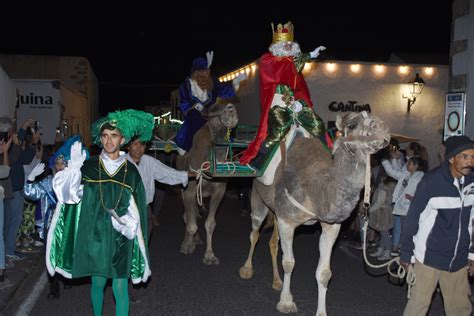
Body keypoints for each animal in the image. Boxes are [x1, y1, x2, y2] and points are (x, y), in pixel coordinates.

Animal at [176, 102, 239, 264]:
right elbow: (191, 222)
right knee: (187, 215)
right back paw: (188, 241)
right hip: (182, 189)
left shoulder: (220, 190)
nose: (231, 109)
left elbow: (210, 224)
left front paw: (210, 256)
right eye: (214, 108)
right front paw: (187, 245)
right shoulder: (190, 190)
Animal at [239, 111, 390, 316]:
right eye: (351, 125)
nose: (383, 128)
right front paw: (286, 302)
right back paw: (246, 270)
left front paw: (321, 311)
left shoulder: (330, 226)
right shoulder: (287, 221)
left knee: (272, 242)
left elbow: (324, 273)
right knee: (254, 232)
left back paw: (277, 282)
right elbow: (289, 263)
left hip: (276, 211)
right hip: (258, 197)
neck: (316, 189)